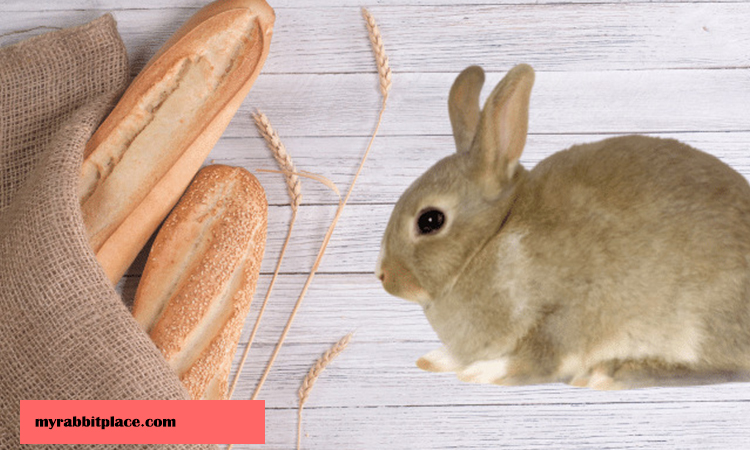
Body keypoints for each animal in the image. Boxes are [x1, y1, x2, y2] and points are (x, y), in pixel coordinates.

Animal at [378, 64, 750, 390]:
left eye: (430, 220)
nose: (383, 276)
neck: (491, 239)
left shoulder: (563, 313)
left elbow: (538, 358)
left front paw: (484, 371)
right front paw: (435, 359)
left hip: (699, 321)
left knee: (720, 368)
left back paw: (611, 374)